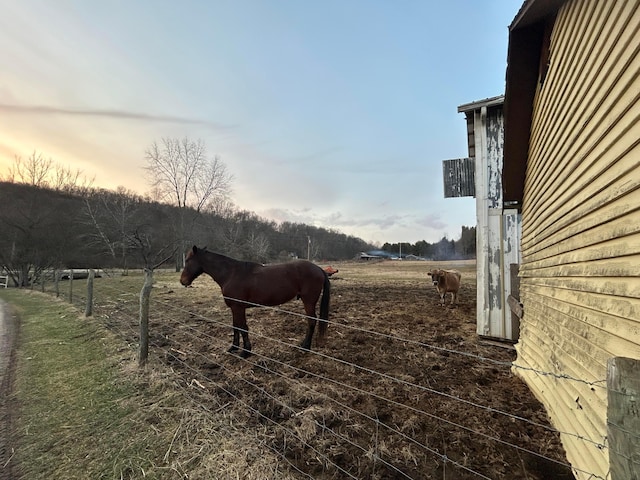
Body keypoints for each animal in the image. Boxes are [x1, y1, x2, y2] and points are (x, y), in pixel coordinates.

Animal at [180, 248, 330, 356]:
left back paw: (305, 347)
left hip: (308, 302)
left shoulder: (238, 307)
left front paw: (246, 351)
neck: (231, 274)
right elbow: (235, 326)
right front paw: (233, 348)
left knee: (312, 321)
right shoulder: (234, 308)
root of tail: (319, 269)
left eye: (187, 260)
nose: (183, 281)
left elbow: (243, 327)